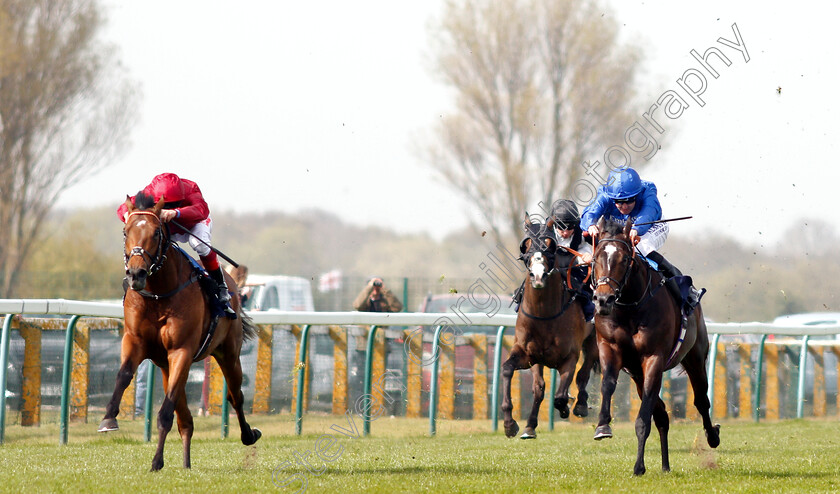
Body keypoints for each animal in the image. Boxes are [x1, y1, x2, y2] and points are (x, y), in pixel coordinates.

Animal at [97, 193, 260, 470]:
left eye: (155, 233)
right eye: (125, 231)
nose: (136, 273)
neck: (158, 295)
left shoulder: (181, 350)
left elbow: (165, 412)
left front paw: (156, 461)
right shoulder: (135, 342)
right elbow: (123, 375)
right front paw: (109, 418)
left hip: (228, 354)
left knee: (235, 395)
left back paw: (249, 435)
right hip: (166, 366)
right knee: (186, 419)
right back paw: (186, 464)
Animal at [502, 214, 600, 438]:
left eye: (549, 244)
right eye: (527, 244)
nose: (538, 276)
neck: (544, 316)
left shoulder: (569, 356)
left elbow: (561, 395)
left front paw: (565, 407)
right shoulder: (528, 354)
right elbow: (510, 371)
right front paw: (513, 424)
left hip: (594, 339)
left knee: (586, 369)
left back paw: (580, 405)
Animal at [588, 219, 720, 474]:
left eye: (624, 259)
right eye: (596, 257)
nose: (603, 300)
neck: (630, 307)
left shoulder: (653, 358)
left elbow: (643, 418)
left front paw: (639, 466)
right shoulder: (610, 348)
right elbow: (608, 384)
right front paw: (602, 426)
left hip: (695, 357)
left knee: (700, 400)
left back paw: (713, 437)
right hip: (637, 375)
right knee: (662, 415)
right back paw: (666, 465)